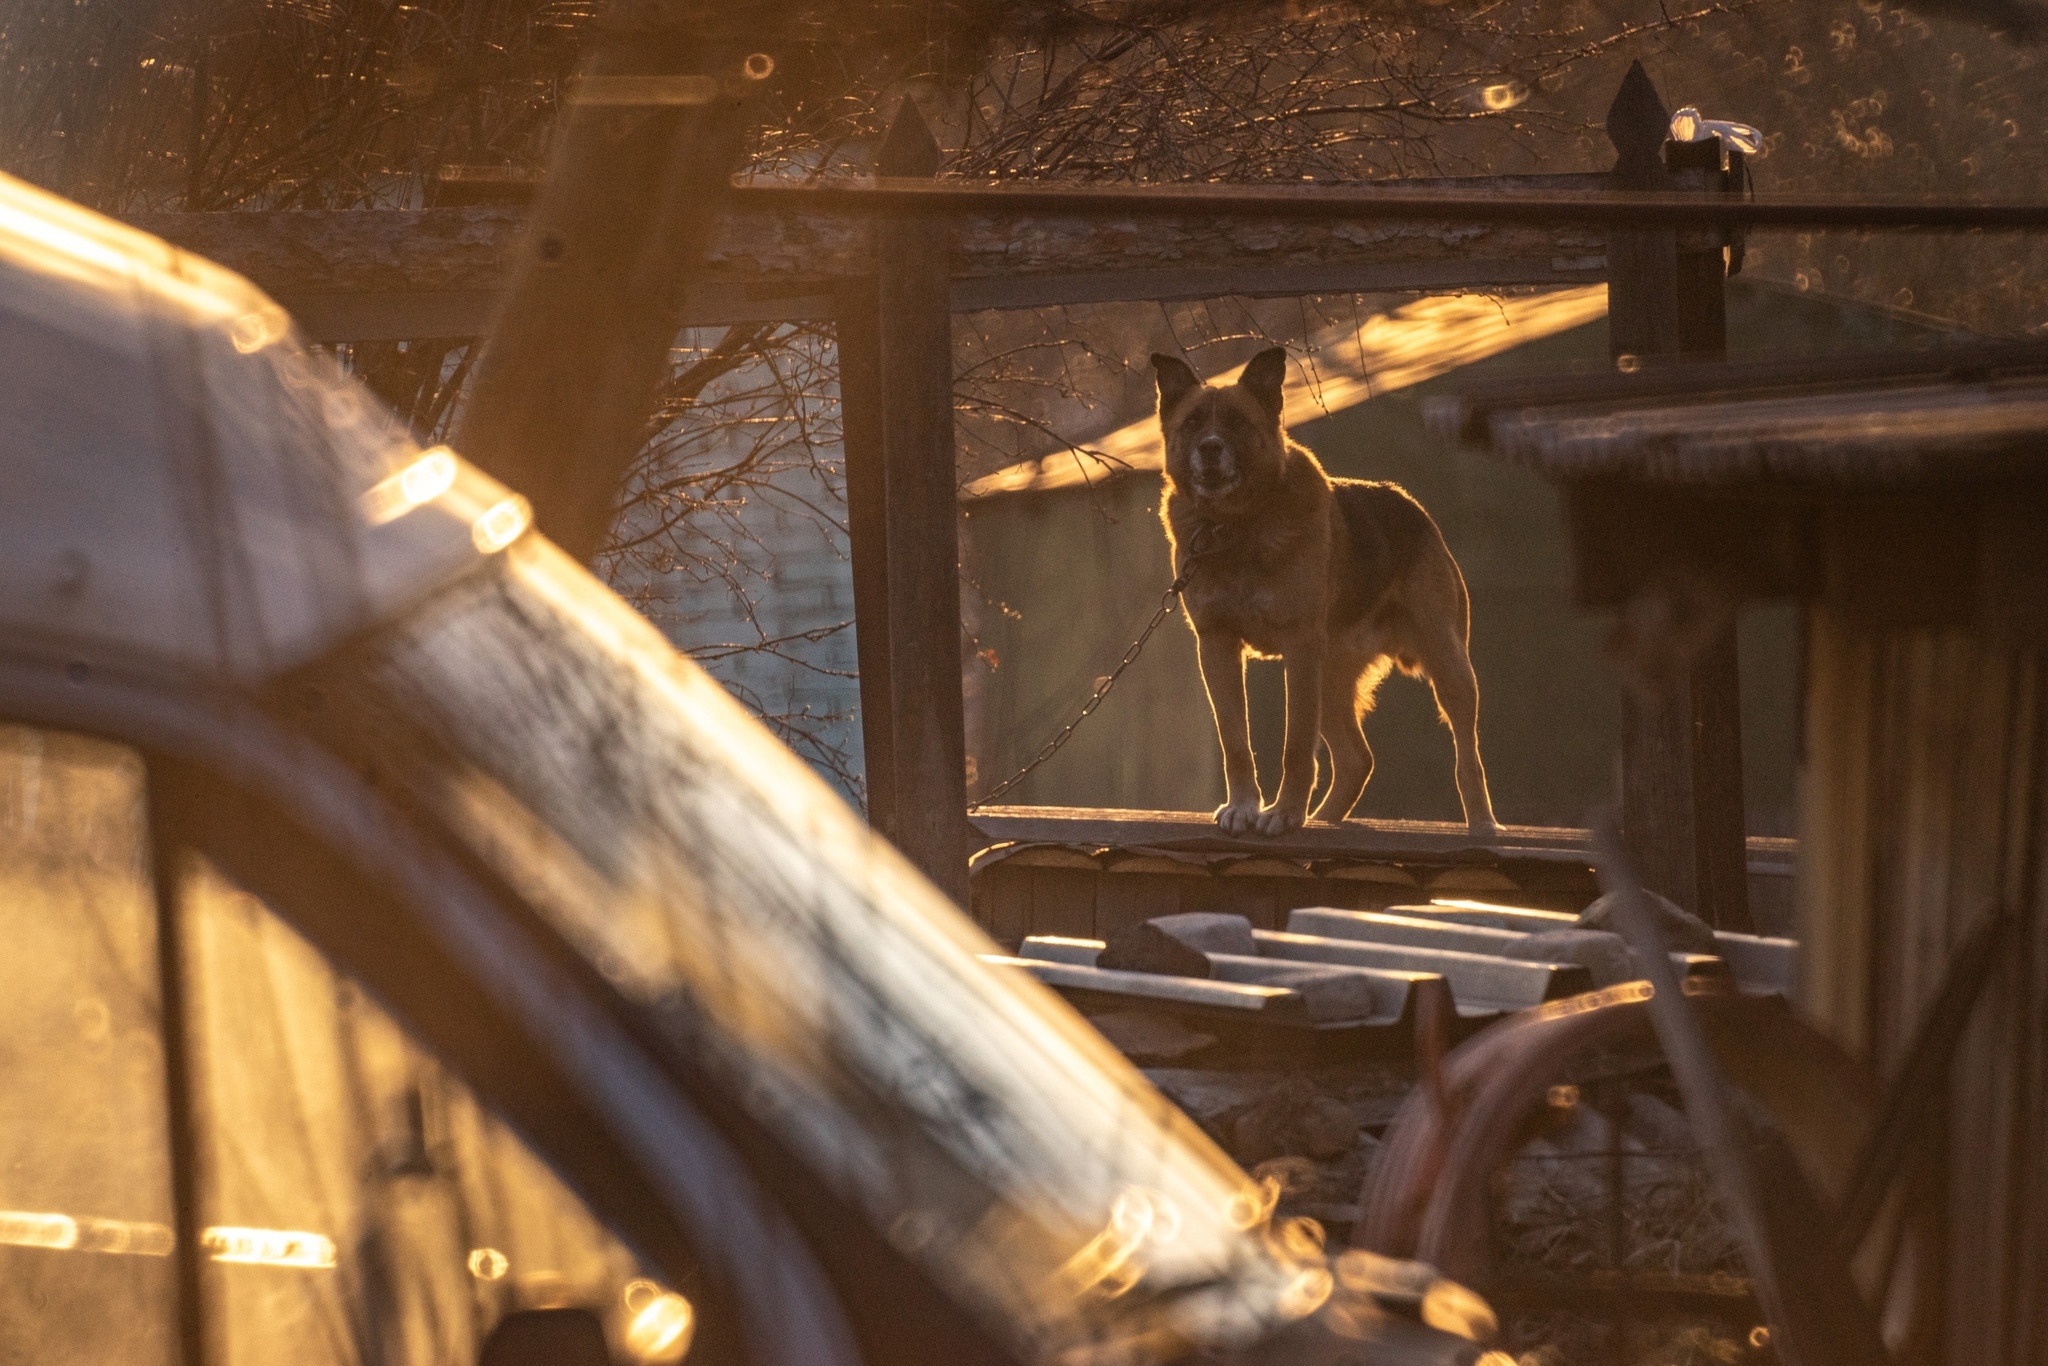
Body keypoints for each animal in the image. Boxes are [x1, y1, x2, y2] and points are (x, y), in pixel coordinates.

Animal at [1155, 344, 1507, 835]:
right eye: (1191, 423)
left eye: (1238, 423)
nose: (1209, 448)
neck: (1236, 526)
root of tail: (1409, 504)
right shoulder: (1217, 646)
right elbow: (1236, 742)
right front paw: (1246, 806)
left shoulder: (1300, 646)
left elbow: (1296, 746)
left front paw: (1284, 813)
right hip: (1330, 680)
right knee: (1358, 759)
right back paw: (1324, 820)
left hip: (1447, 665)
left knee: (1466, 755)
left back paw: (1482, 826)